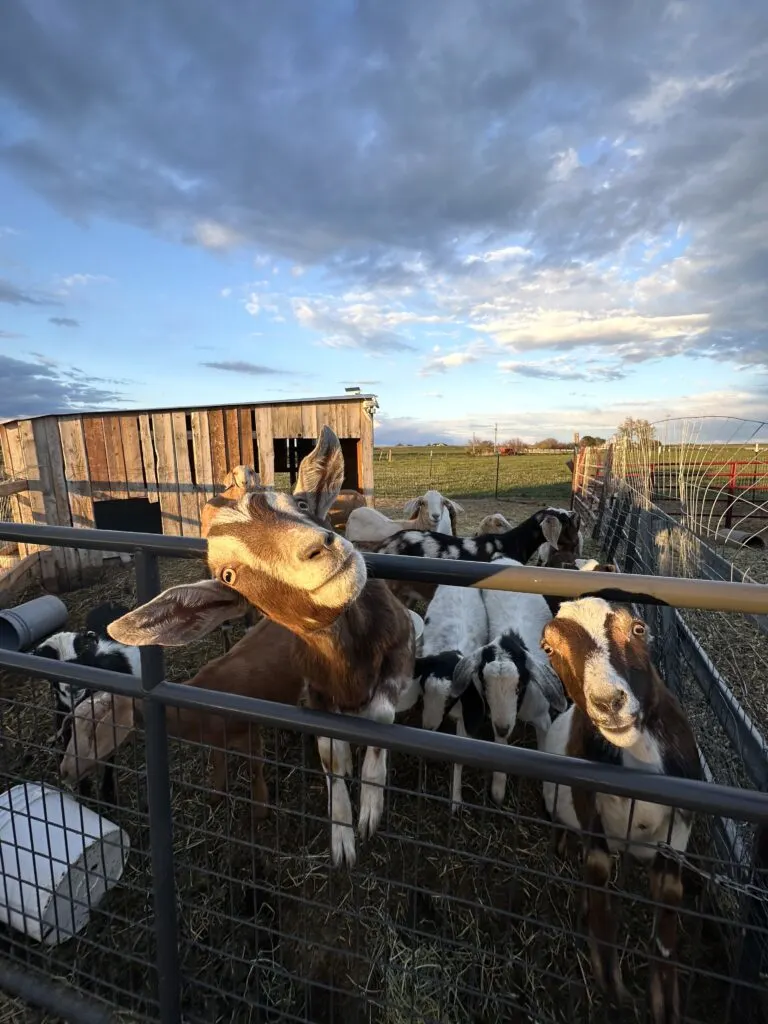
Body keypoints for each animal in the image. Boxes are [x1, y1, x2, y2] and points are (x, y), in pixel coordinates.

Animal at [33, 602, 140, 802]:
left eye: (81, 654)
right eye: (49, 660)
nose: (73, 686)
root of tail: (110, 604)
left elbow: (109, 762)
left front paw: (108, 794)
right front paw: (84, 792)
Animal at [60, 610, 307, 819]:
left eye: (94, 729)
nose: (64, 770)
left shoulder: (249, 735)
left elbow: (254, 771)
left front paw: (260, 812)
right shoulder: (217, 741)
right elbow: (218, 764)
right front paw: (215, 797)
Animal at [105, 428, 417, 868]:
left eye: (299, 504)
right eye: (228, 575)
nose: (319, 549)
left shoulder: (402, 644)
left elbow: (382, 716)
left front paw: (370, 810)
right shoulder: (313, 691)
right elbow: (332, 755)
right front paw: (342, 838)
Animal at [540, 598, 704, 1024]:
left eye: (638, 628)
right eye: (548, 648)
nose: (608, 702)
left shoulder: (676, 838)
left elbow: (666, 931)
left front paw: (666, 1007)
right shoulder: (594, 830)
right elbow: (603, 914)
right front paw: (615, 994)